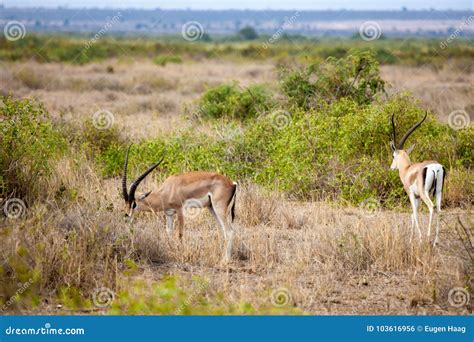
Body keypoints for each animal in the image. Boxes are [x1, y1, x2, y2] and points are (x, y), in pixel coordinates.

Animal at [388, 111, 444, 244]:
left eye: (393, 156)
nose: (391, 168)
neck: (407, 169)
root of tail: (435, 166)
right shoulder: (417, 196)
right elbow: (413, 214)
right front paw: (410, 239)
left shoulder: (411, 194)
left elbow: (414, 212)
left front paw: (419, 238)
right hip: (438, 192)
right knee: (439, 210)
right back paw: (435, 241)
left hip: (425, 193)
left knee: (431, 207)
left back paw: (428, 238)